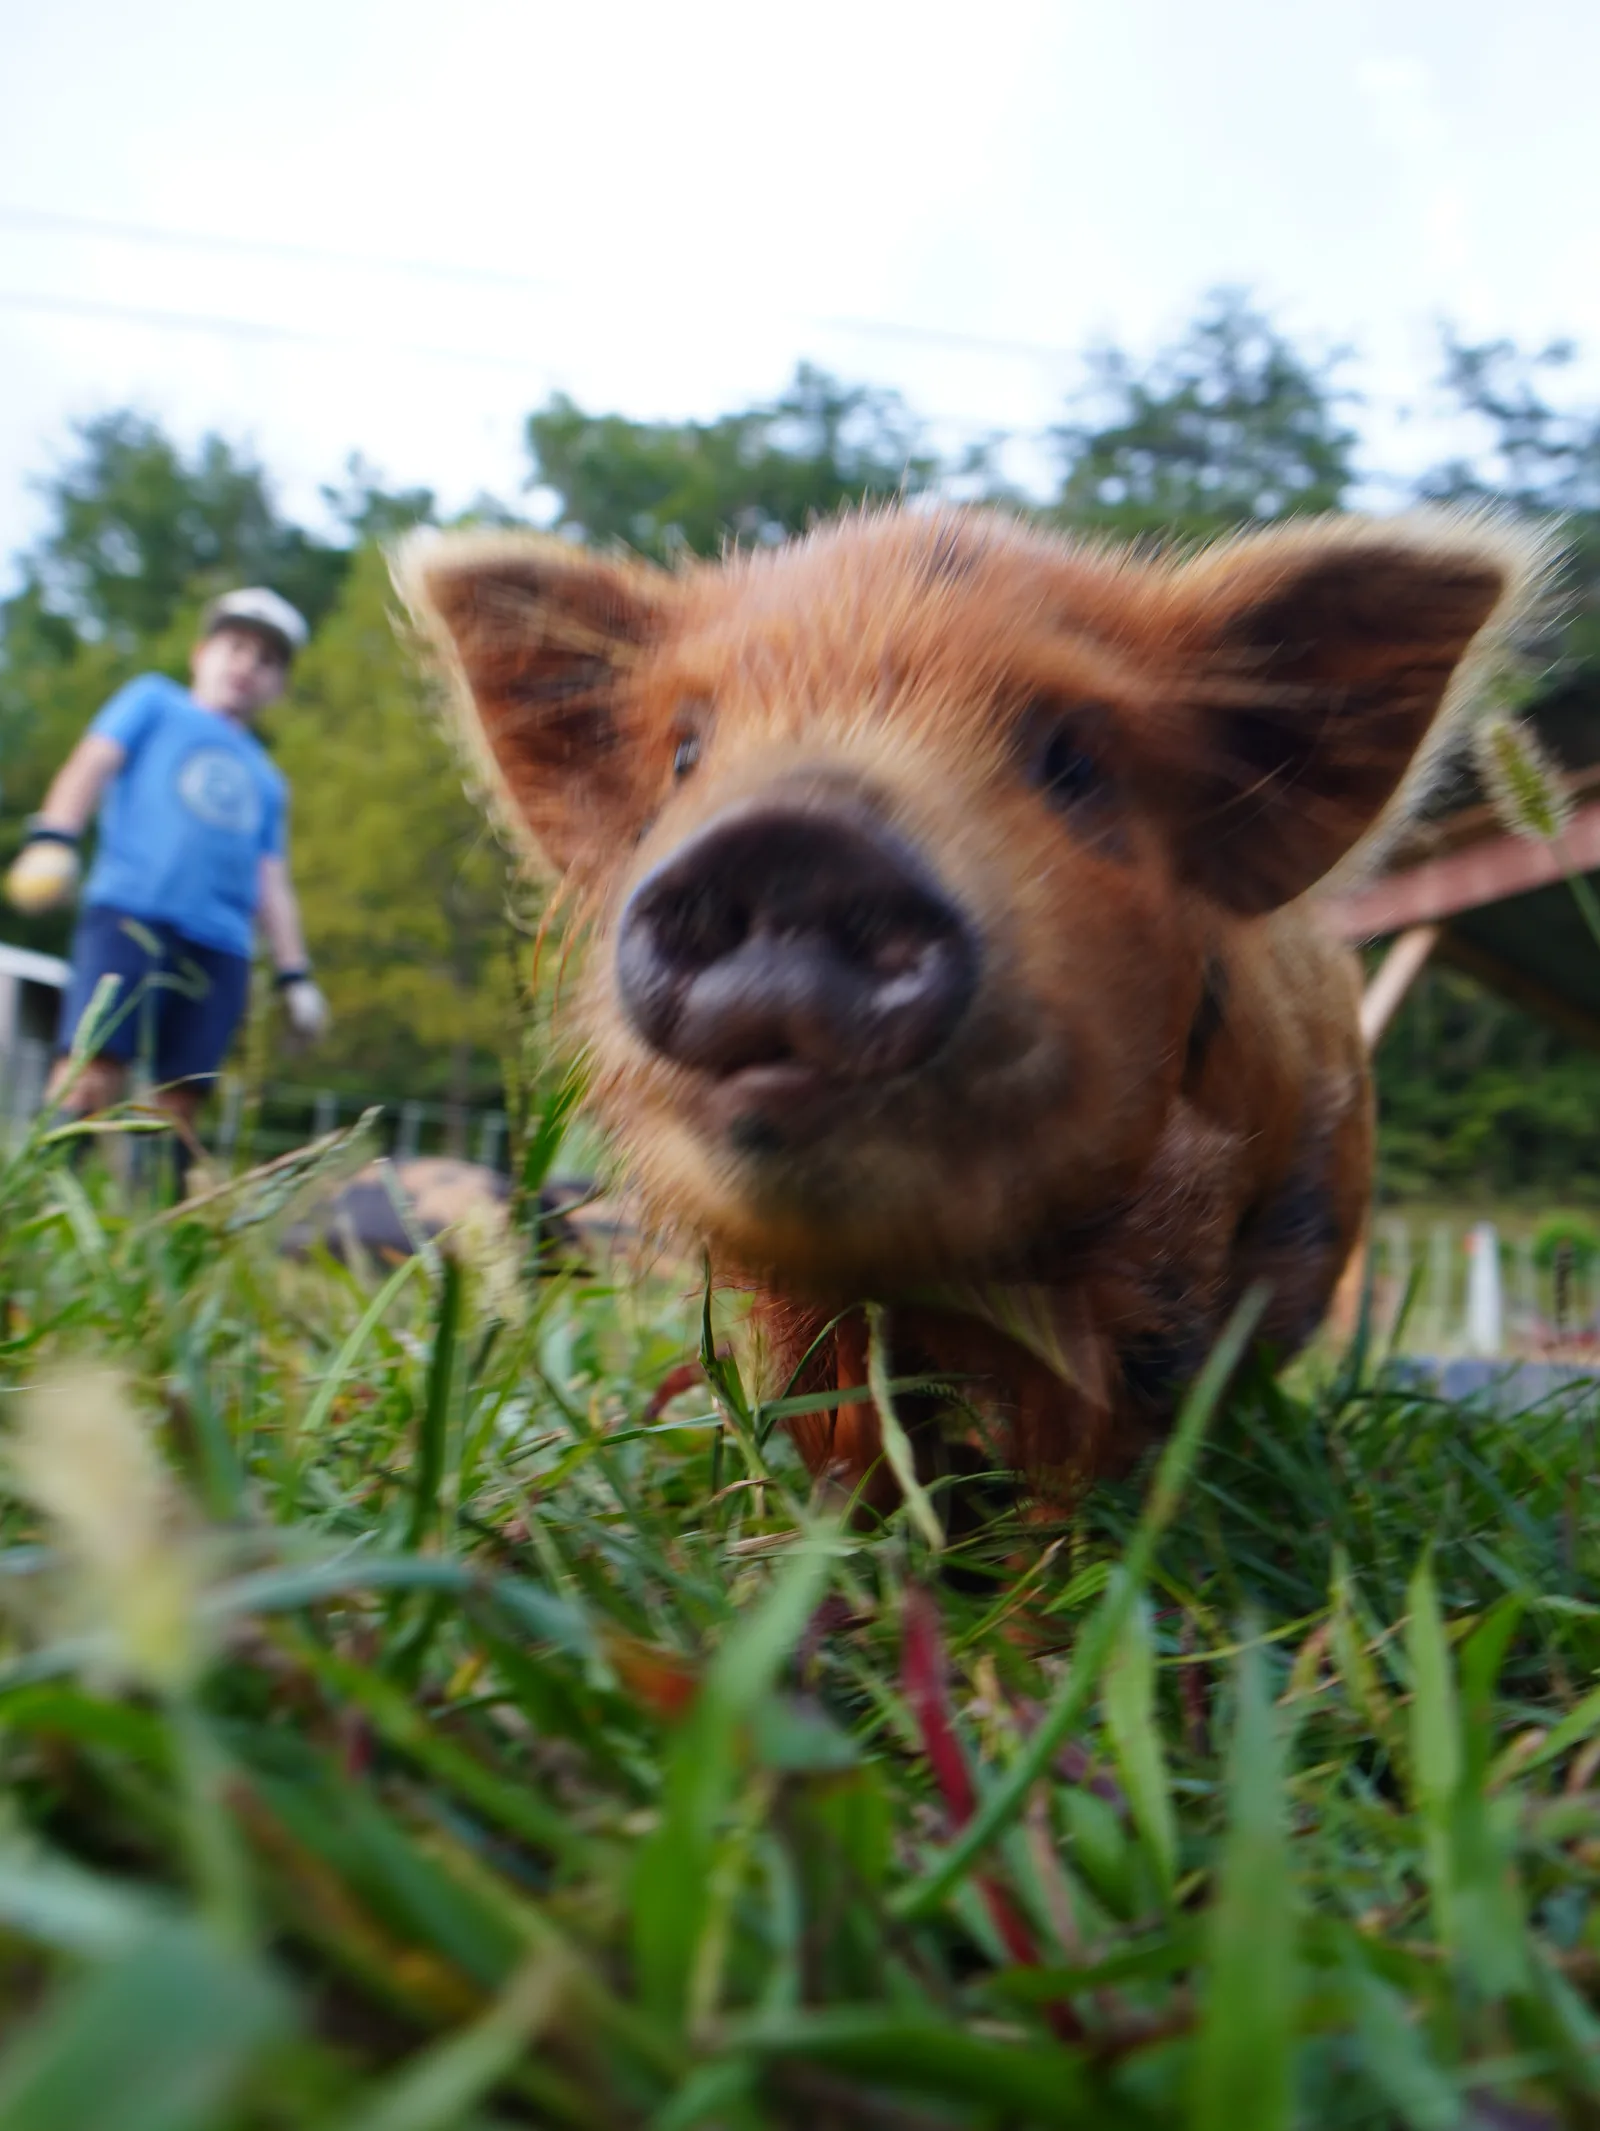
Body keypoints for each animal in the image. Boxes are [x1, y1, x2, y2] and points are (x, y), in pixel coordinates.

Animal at [396, 508, 1534, 1511]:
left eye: (1073, 763)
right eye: (683, 754)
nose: (795, 838)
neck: (926, 1275)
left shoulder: (1161, 1269)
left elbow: (1075, 1458)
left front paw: (1038, 1596)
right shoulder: (791, 1303)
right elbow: (844, 1436)